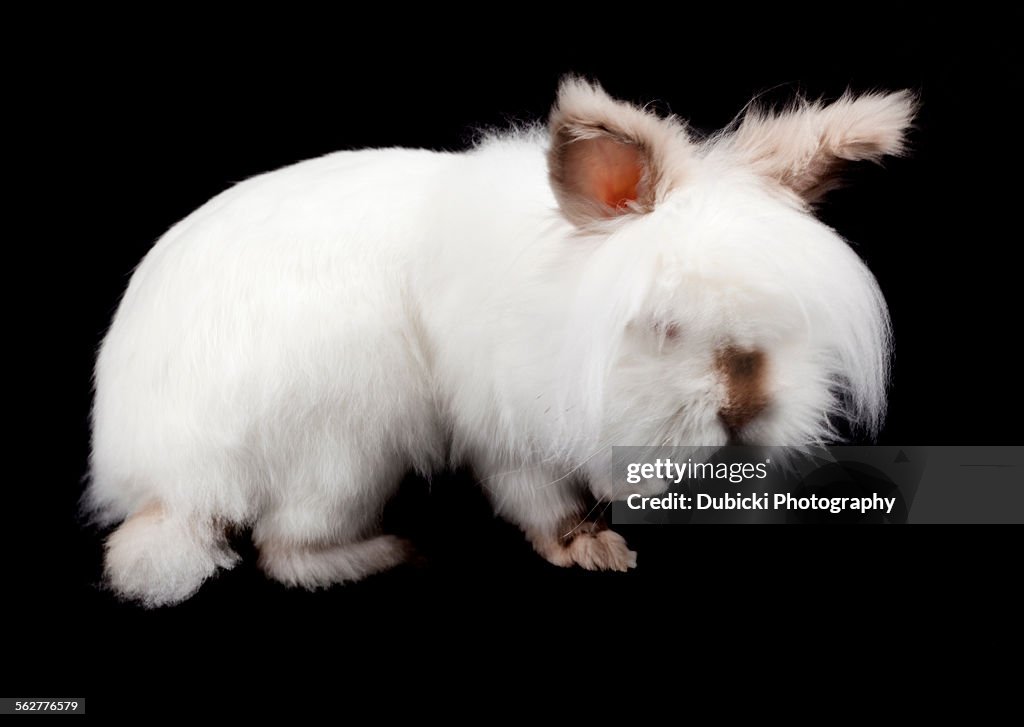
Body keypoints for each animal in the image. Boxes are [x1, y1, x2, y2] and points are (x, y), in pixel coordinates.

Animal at [87, 78, 914, 606]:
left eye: (788, 325)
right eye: (664, 326)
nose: (745, 408)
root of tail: (163, 481)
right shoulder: (504, 427)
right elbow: (536, 501)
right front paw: (590, 549)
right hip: (341, 456)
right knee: (288, 551)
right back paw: (391, 551)